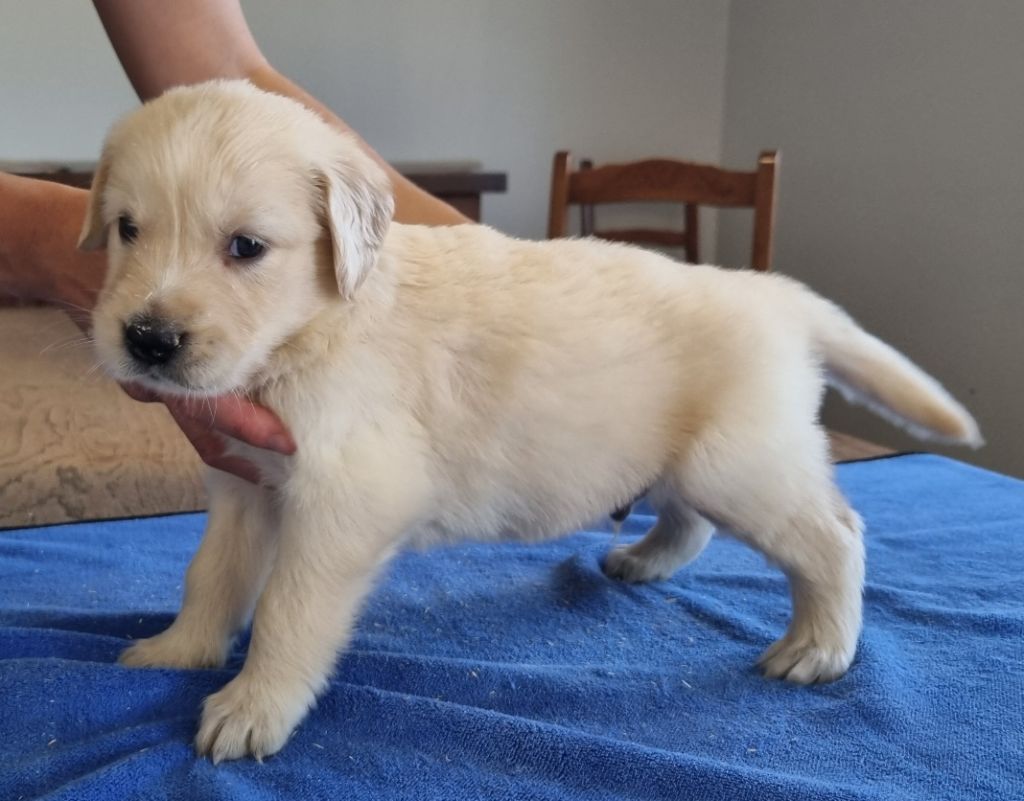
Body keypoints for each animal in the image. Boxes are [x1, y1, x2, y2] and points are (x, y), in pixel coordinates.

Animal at [81, 80, 981, 762]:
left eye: (246, 247)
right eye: (127, 228)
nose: (148, 339)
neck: (317, 325)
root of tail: (774, 292)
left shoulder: (347, 495)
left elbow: (287, 609)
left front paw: (251, 706)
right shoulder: (245, 483)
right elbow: (213, 574)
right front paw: (180, 649)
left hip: (744, 464)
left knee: (836, 536)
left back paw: (819, 646)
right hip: (689, 458)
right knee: (691, 522)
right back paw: (642, 562)